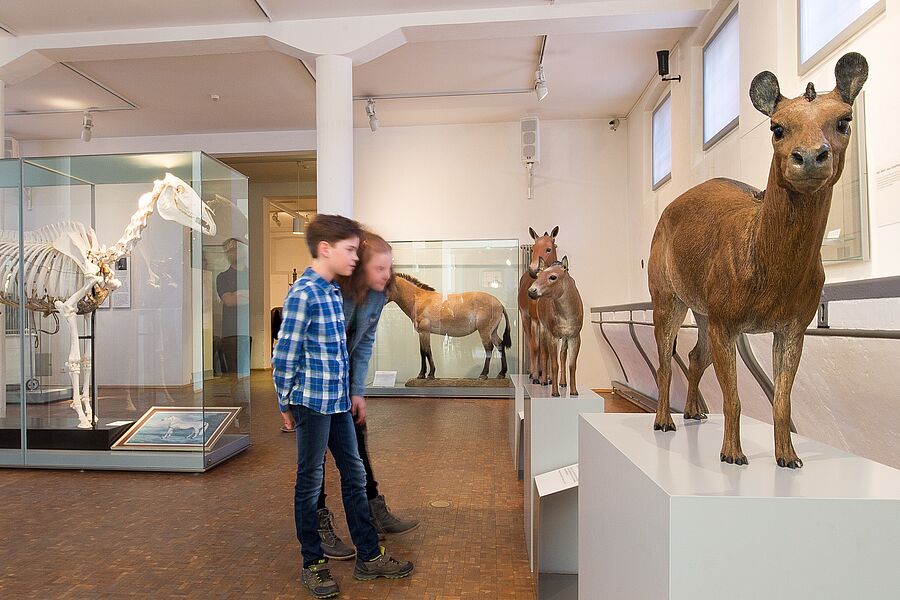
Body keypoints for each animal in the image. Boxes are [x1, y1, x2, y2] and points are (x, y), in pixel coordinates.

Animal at [516, 225, 560, 384]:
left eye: (548, 249)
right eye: (533, 249)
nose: (533, 270)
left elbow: (551, 350)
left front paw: (549, 378)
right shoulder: (535, 319)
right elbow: (536, 347)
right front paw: (536, 376)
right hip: (525, 317)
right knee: (532, 343)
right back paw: (534, 373)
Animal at [528, 255, 584, 396]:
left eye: (553, 277)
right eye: (538, 275)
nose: (531, 291)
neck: (567, 315)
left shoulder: (574, 336)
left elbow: (572, 364)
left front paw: (574, 391)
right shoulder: (553, 335)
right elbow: (554, 364)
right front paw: (554, 392)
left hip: (563, 337)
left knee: (562, 355)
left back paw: (563, 383)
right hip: (543, 329)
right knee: (544, 353)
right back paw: (543, 381)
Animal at [652, 52, 868, 468]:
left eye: (844, 120)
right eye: (777, 127)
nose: (811, 157)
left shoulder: (792, 327)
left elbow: (782, 400)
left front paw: (788, 456)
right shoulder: (726, 323)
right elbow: (733, 399)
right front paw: (732, 453)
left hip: (702, 312)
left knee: (694, 355)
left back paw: (692, 412)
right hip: (668, 299)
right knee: (665, 360)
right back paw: (663, 420)